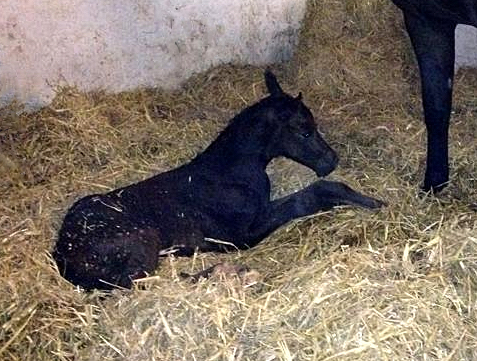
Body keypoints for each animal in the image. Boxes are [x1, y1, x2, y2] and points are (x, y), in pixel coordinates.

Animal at [52, 70, 384, 290]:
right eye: (304, 130)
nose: (331, 161)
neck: (229, 171)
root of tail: (62, 251)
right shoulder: (242, 235)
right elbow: (310, 196)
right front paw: (371, 200)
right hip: (143, 242)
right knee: (139, 284)